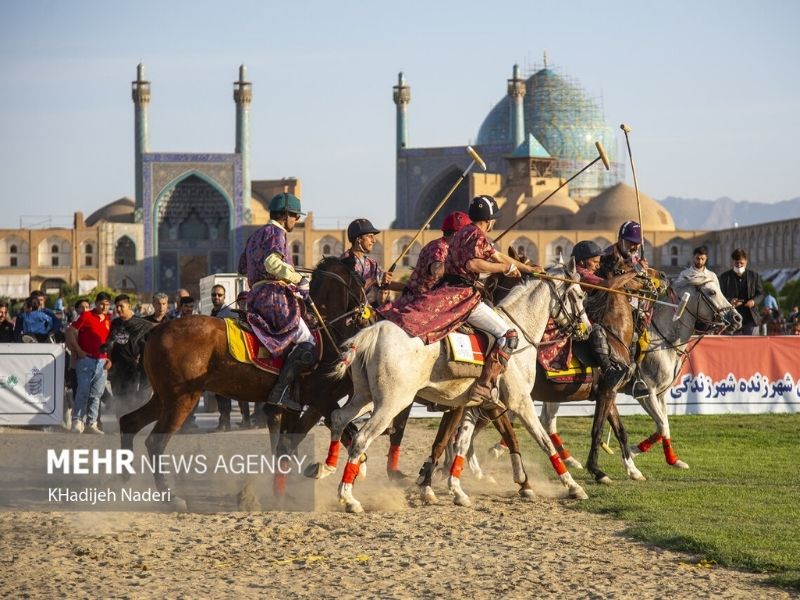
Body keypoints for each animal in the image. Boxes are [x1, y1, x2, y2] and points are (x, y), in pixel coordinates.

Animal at [328, 260, 592, 512]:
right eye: (580, 296)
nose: (587, 329)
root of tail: (373, 331)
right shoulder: (520, 402)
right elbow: (544, 442)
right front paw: (573, 486)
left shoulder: (472, 405)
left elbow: (461, 444)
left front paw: (457, 491)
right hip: (392, 402)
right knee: (361, 438)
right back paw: (348, 497)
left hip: (365, 397)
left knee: (338, 418)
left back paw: (329, 469)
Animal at [536, 268, 744, 474]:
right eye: (711, 292)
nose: (737, 318)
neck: (663, 338)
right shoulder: (645, 393)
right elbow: (661, 425)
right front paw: (634, 451)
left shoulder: (660, 394)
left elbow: (664, 426)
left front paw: (670, 459)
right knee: (548, 420)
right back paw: (568, 460)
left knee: (546, 420)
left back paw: (568, 459)